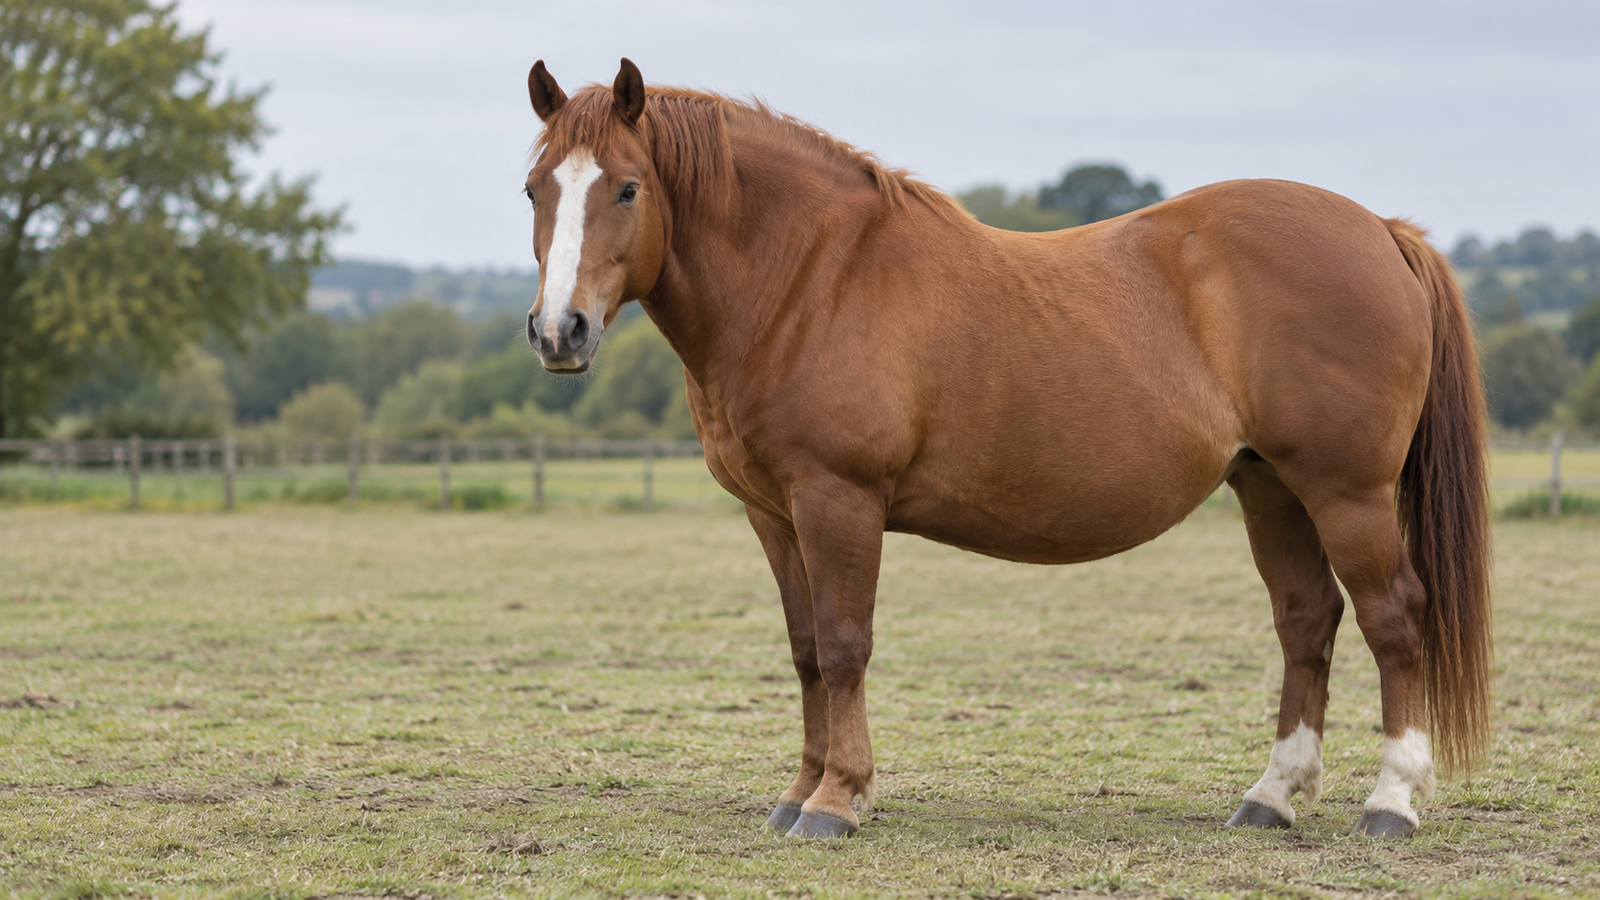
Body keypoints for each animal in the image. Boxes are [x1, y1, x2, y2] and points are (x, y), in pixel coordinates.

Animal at [519, 58, 1492, 841]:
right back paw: (1271, 797)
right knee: (1306, 621)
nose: (559, 332)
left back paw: (1391, 804)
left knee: (1392, 618)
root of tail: (1381, 230)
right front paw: (799, 792)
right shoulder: (774, 514)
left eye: (627, 188)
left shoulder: (839, 500)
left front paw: (837, 801)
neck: (810, 276)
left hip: (1345, 493)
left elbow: (844, 645)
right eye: (535, 189)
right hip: (1269, 488)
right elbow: (804, 651)